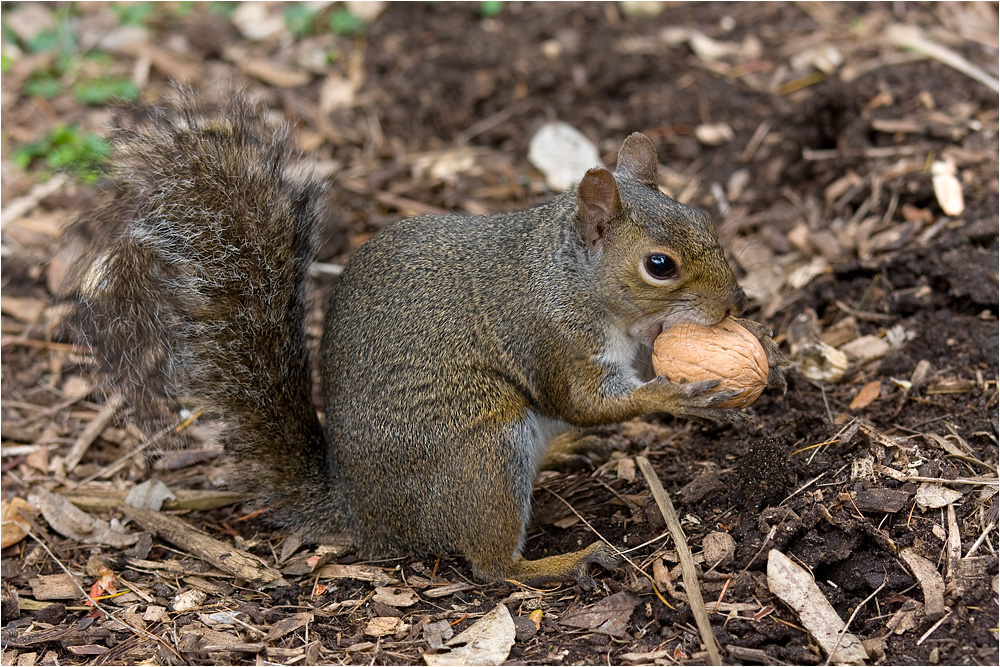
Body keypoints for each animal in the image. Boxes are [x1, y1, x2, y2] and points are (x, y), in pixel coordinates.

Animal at [70, 95, 784, 588]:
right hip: (483, 452)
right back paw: (559, 563)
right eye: (659, 265)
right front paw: (677, 397)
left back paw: (567, 454)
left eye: (704, 219)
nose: (734, 304)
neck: (571, 279)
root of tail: (364, 516)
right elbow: (584, 399)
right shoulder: (550, 338)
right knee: (491, 566)